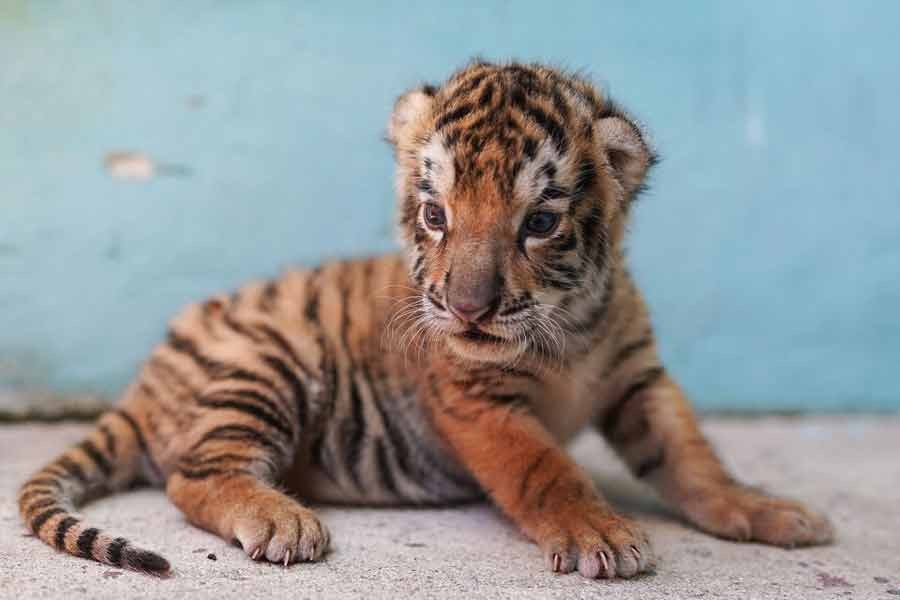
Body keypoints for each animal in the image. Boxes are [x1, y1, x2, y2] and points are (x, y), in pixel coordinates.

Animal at [17, 60, 833, 579]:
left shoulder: (639, 380)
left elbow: (692, 457)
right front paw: (599, 530)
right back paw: (283, 520)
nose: (468, 308)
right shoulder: (477, 401)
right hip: (266, 362)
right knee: (195, 473)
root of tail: (143, 382)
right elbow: (547, 469)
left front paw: (765, 509)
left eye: (541, 223)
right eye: (436, 215)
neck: (569, 330)